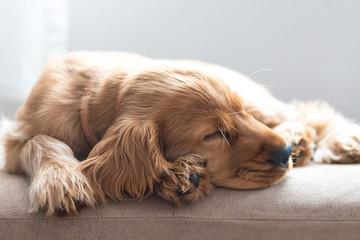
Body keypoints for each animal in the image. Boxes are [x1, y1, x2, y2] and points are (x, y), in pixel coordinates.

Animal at [3, 51, 360, 216]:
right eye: (215, 134)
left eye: (240, 112)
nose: (285, 153)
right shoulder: (16, 140)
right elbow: (40, 141)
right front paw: (60, 181)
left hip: (262, 103)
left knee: (309, 112)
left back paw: (331, 141)